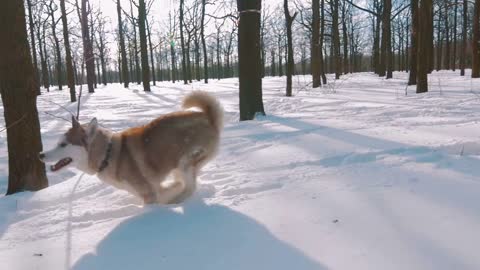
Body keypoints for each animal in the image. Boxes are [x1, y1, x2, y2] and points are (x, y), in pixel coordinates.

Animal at [39, 92, 223, 204]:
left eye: (63, 144)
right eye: (58, 142)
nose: (41, 155)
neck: (107, 155)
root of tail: (208, 117)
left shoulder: (149, 194)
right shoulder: (153, 190)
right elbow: (168, 189)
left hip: (185, 162)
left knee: (189, 187)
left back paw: (177, 201)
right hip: (178, 165)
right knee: (186, 184)